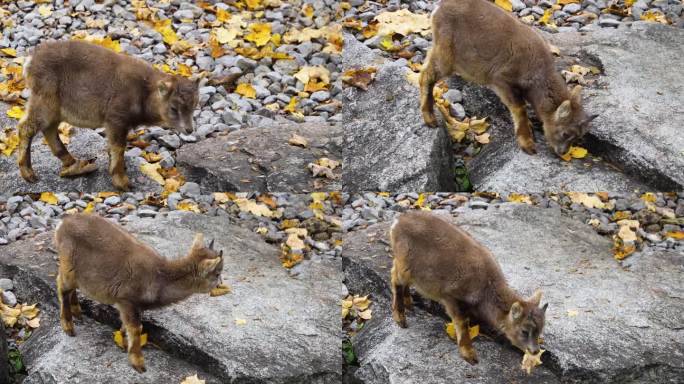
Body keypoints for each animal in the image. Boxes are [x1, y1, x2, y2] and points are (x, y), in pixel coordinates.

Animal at [18, 40, 198, 190]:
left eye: (195, 105)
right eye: (173, 108)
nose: (189, 130)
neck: (144, 92)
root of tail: (30, 62)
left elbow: (113, 148)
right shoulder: (116, 119)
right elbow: (118, 148)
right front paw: (122, 182)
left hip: (55, 110)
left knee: (48, 130)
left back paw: (76, 164)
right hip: (45, 102)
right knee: (26, 128)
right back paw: (29, 175)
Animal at [55, 213, 224, 372]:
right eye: (217, 273)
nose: (221, 286)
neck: (159, 277)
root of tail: (61, 225)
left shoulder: (134, 307)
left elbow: (127, 327)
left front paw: (123, 344)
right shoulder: (126, 300)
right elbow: (136, 329)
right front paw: (138, 364)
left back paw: (77, 312)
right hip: (69, 266)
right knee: (62, 286)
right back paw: (68, 327)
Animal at [390, 212, 544, 364]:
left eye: (540, 329)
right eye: (524, 330)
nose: (535, 351)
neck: (486, 287)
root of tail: (396, 223)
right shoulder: (452, 298)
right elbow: (462, 324)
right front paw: (469, 355)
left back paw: (409, 303)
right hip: (405, 266)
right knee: (395, 278)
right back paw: (400, 319)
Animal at [420, 0, 596, 158]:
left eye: (579, 136)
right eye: (565, 133)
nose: (563, 152)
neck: (536, 73)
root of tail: (438, 9)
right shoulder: (502, 81)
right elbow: (519, 108)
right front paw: (528, 144)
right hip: (447, 58)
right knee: (425, 76)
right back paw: (430, 119)